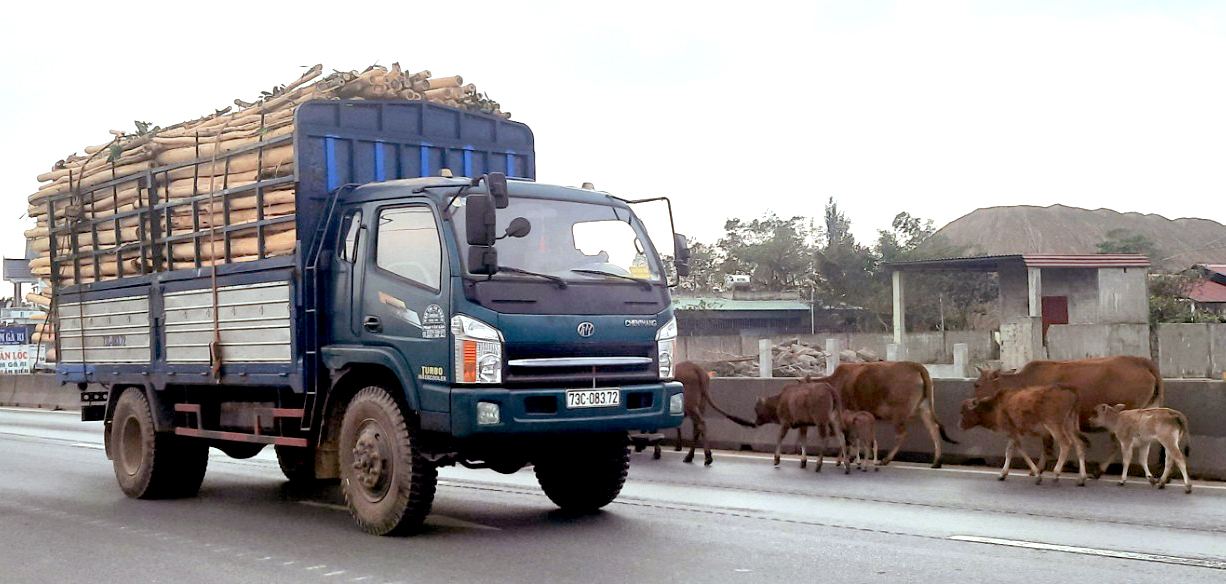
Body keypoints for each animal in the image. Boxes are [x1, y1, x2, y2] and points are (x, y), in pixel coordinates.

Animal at [814, 360, 956, 471]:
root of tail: (915, 365)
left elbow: (847, 438)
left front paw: (848, 458)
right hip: (924, 407)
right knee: (933, 429)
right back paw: (937, 461)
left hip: (899, 414)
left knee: (901, 434)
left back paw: (886, 459)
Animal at [970, 355, 1162, 473]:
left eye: (977, 384)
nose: (972, 403)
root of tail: (1139, 361)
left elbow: (1046, 444)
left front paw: (1042, 467)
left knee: (1119, 443)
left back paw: (1100, 470)